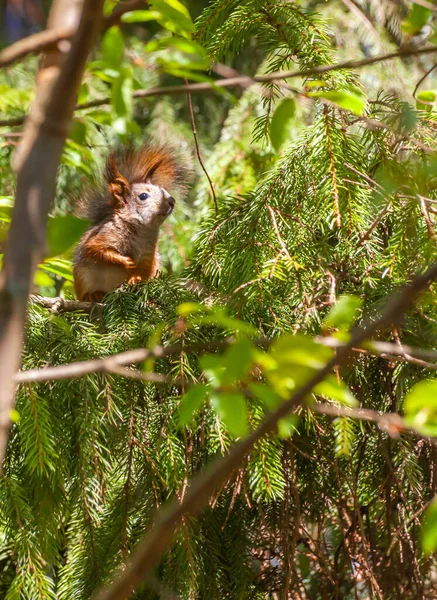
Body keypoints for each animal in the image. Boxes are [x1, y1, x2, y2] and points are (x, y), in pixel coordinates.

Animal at [73, 144, 184, 304]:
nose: (172, 201)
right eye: (143, 196)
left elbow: (144, 269)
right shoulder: (102, 236)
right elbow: (96, 249)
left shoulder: (148, 253)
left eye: (164, 190)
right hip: (83, 276)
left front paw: (135, 279)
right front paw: (125, 261)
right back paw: (92, 295)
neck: (142, 230)